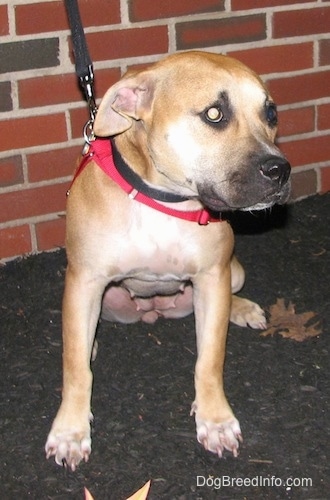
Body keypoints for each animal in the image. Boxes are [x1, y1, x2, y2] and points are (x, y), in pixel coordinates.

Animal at [45, 50, 290, 468]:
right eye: (214, 114)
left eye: (270, 113)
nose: (280, 170)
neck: (163, 199)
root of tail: (152, 310)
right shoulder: (84, 281)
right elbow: (76, 368)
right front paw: (70, 430)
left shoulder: (212, 277)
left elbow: (209, 360)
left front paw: (215, 420)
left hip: (233, 272)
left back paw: (240, 309)